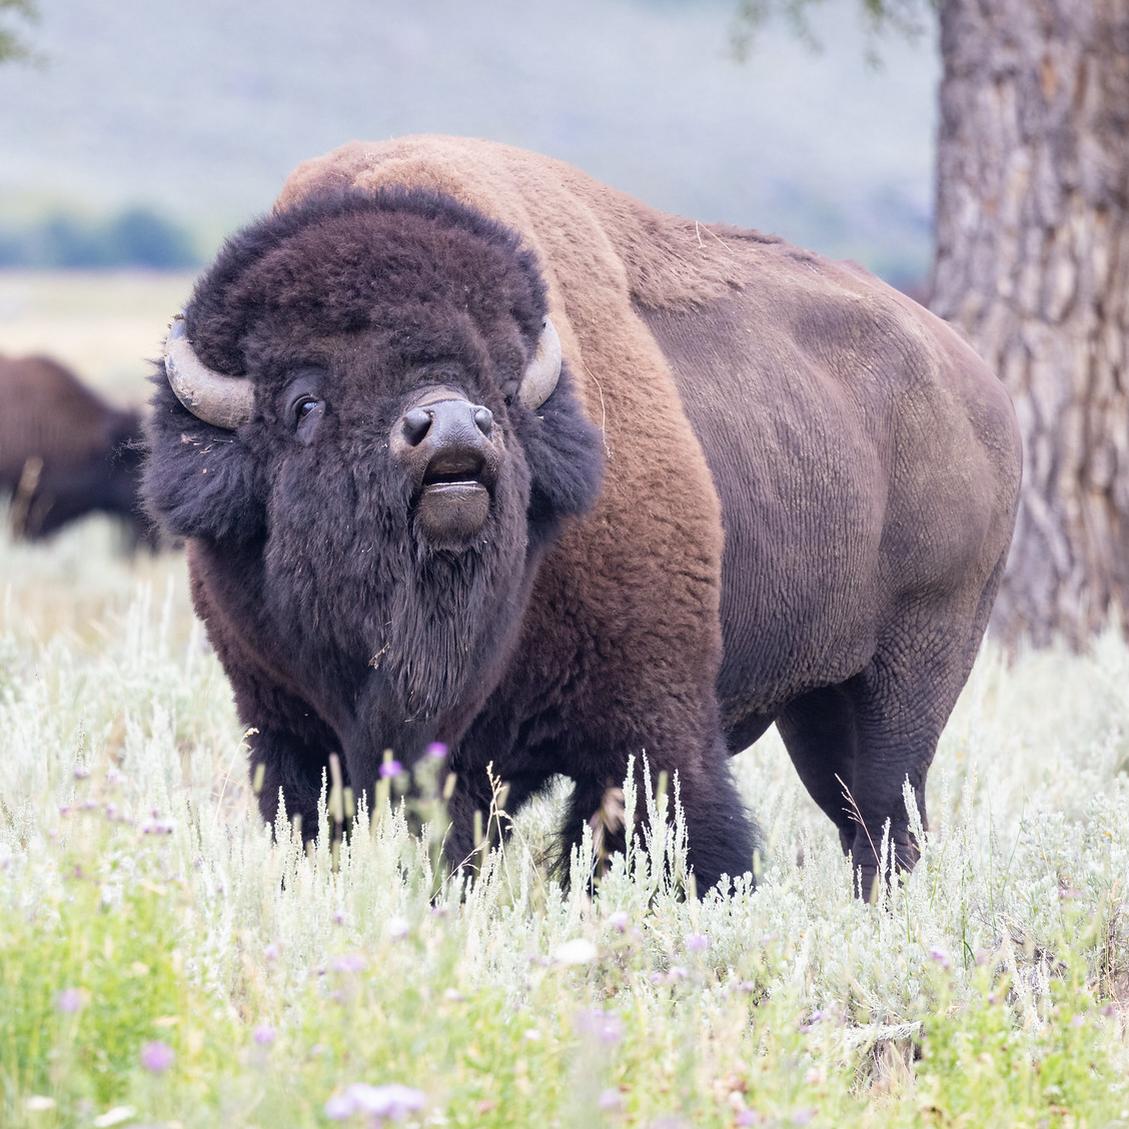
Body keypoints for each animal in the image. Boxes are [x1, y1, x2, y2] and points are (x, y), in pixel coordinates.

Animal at [144, 136, 1021, 894]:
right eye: (305, 401)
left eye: (501, 384)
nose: (454, 428)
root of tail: (977, 383)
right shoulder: (288, 733)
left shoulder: (650, 727)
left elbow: (671, 840)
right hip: (817, 699)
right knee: (855, 819)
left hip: (910, 672)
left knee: (883, 816)